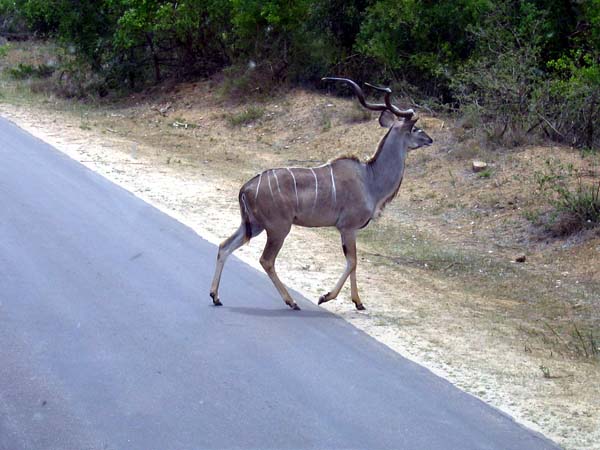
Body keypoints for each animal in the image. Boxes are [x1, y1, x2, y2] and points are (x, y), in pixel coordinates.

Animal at [210, 76, 432, 310]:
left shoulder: (350, 230)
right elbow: (352, 261)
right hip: (278, 228)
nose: (430, 139)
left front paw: (358, 302)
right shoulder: (347, 228)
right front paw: (328, 297)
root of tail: (246, 187)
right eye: (416, 129)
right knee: (266, 260)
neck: (370, 179)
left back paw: (215, 296)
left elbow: (353, 262)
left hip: (254, 225)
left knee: (225, 246)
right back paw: (292, 301)